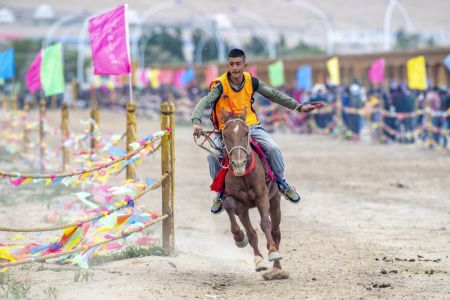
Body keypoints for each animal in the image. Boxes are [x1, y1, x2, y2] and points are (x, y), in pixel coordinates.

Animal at [221, 107, 288, 278]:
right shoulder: (238, 205)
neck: (244, 175)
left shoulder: (262, 197)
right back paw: (259, 261)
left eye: (246, 133)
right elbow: (230, 206)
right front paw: (239, 238)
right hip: (244, 210)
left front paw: (273, 252)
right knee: (252, 233)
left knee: (275, 232)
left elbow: (265, 223)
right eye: (225, 135)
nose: (238, 163)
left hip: (275, 200)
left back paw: (277, 269)